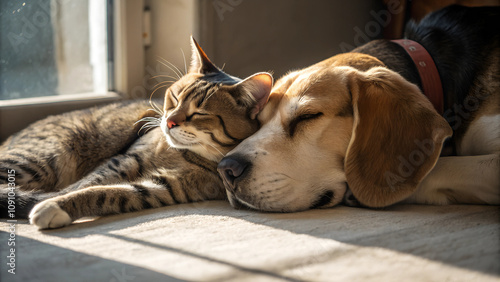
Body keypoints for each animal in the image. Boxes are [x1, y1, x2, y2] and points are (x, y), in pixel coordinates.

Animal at [0, 38, 274, 229]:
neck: (184, 154)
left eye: (200, 113)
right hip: (45, 157)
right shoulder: (125, 160)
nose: (169, 122)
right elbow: (87, 183)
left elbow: (104, 193)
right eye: (175, 98)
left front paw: (53, 206)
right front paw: (49, 200)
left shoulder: (163, 186)